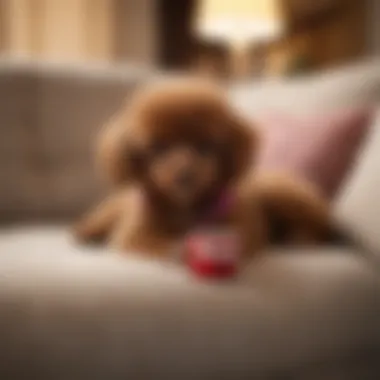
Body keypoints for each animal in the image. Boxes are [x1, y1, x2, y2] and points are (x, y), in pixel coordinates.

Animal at [74, 78, 330, 260]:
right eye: (158, 148)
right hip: (111, 210)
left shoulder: (243, 226)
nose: (185, 174)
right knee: (96, 221)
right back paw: (85, 235)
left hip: (284, 196)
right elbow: (153, 243)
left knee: (315, 226)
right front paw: (177, 248)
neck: (185, 206)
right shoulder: (133, 234)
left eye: (206, 146)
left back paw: (299, 239)